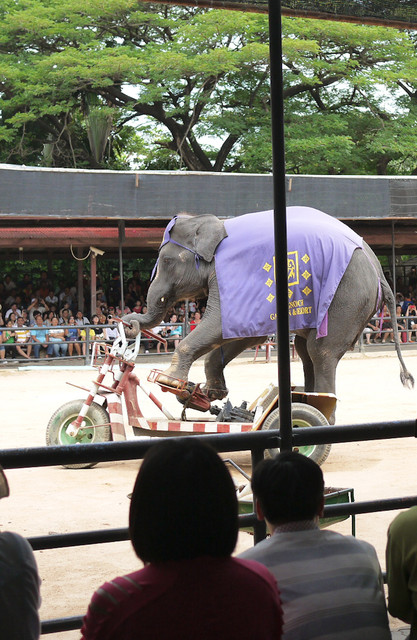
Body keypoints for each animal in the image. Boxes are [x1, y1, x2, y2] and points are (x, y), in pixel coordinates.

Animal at [122, 208, 412, 422]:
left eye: (167, 261)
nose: (128, 323)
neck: (217, 225)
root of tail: (378, 270)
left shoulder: (236, 276)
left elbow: (221, 324)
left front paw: (169, 380)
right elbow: (245, 333)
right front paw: (209, 392)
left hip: (346, 299)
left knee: (321, 352)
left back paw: (322, 414)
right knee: (305, 351)